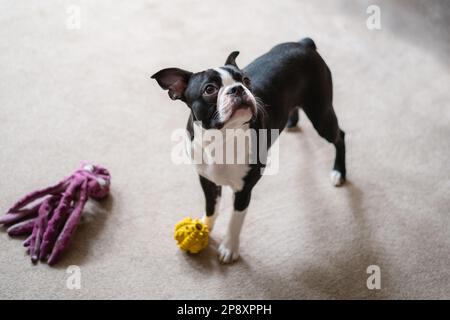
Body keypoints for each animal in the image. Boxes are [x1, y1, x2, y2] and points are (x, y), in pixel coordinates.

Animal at [153, 38, 346, 262]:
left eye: (246, 80)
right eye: (209, 89)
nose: (238, 89)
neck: (221, 138)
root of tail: (304, 44)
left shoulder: (244, 190)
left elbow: (235, 219)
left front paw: (229, 248)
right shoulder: (207, 180)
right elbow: (211, 207)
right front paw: (204, 228)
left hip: (321, 115)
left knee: (340, 136)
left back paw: (339, 172)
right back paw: (291, 121)